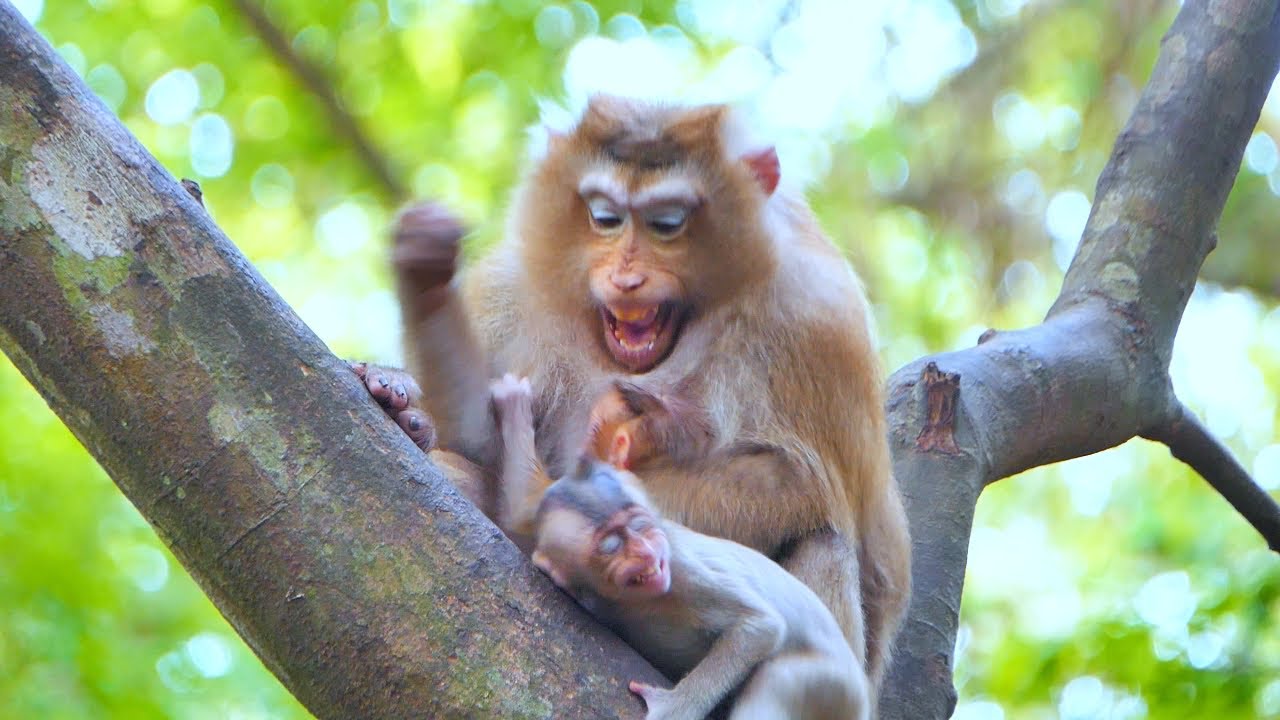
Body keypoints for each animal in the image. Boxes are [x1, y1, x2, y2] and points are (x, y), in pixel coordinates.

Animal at [490, 373, 868, 720]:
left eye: (640, 527)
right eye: (612, 544)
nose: (645, 552)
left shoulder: (685, 571)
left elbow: (760, 627)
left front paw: (671, 708)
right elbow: (523, 511)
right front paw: (513, 408)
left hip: (836, 687)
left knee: (781, 675)